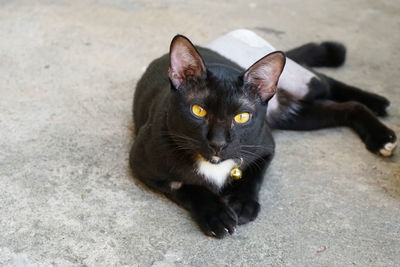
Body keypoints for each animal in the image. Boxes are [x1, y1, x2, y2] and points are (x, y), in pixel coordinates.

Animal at [129, 31, 396, 239]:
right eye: (198, 111)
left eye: (242, 117)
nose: (218, 142)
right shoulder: (143, 164)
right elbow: (185, 186)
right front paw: (216, 214)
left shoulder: (265, 146)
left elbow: (253, 174)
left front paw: (243, 203)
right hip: (298, 117)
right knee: (347, 108)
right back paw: (379, 129)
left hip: (305, 85)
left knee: (330, 84)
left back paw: (381, 115)